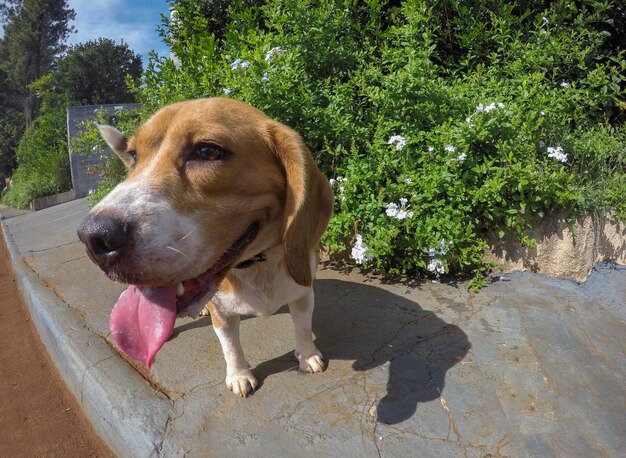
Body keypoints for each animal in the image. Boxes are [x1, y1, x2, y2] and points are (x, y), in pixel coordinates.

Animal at [76, 97, 334, 398]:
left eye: (208, 151)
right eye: (134, 156)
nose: (93, 238)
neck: (259, 264)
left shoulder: (303, 294)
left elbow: (303, 327)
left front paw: (307, 356)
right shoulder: (221, 314)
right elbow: (230, 346)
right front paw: (239, 375)